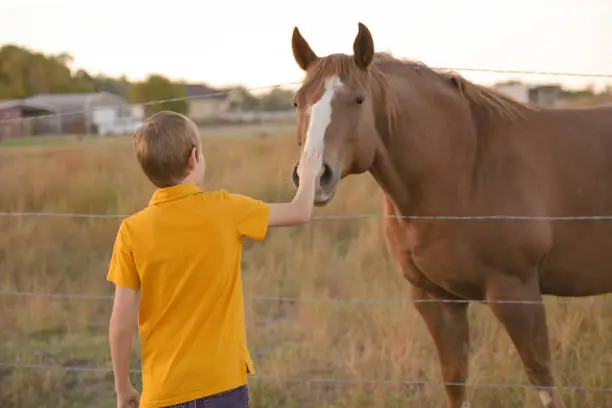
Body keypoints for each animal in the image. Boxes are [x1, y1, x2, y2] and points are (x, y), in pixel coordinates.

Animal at [290, 23, 612, 408]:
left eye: (358, 99)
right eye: (297, 101)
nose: (313, 177)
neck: (465, 166)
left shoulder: (516, 294)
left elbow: (543, 380)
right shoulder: (436, 300)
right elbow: (455, 382)